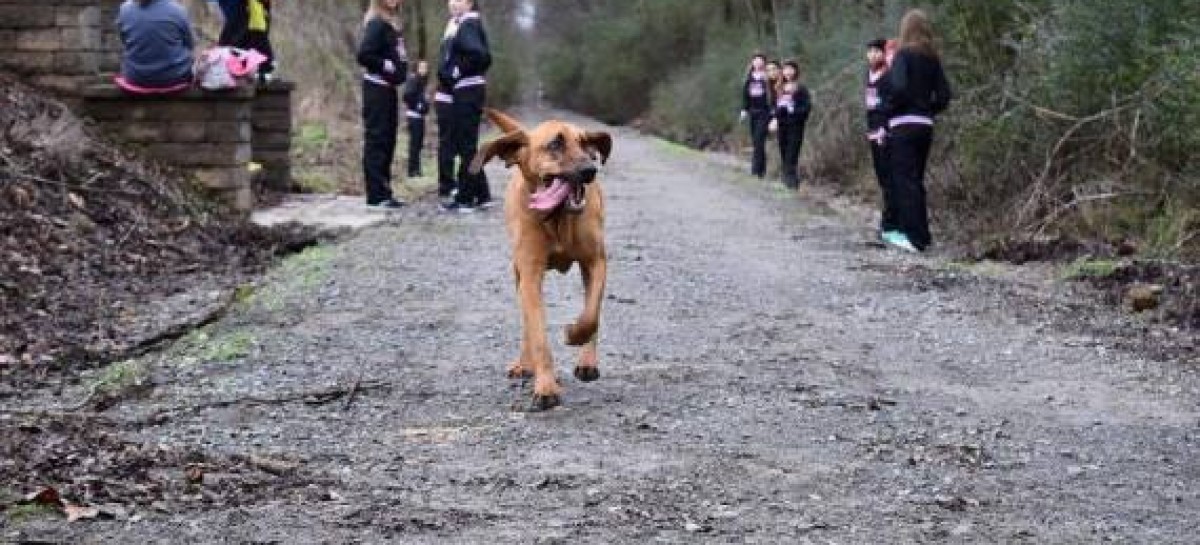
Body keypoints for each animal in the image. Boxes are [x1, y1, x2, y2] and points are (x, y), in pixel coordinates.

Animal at [468, 108, 614, 410]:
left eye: (585, 143)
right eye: (555, 144)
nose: (590, 170)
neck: (557, 219)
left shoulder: (595, 263)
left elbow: (591, 315)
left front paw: (574, 335)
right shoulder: (530, 275)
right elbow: (538, 336)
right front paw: (545, 387)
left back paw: (587, 362)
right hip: (518, 275)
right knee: (526, 323)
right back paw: (525, 364)